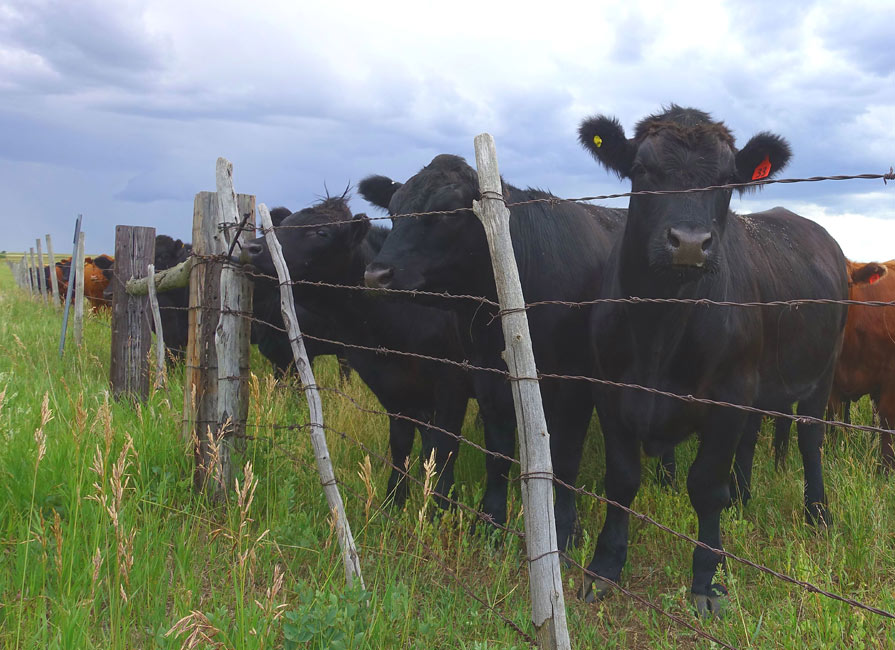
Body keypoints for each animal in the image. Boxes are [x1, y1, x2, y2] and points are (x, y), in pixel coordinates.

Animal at [245, 195, 468, 504]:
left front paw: (442, 504)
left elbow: (444, 447)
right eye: (282, 225)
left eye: (321, 233)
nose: (250, 248)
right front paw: (394, 500)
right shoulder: (392, 388)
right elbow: (402, 443)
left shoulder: (452, 384)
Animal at [360, 153, 628, 548]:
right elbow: (498, 456)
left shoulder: (575, 385)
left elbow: (565, 460)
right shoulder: (487, 380)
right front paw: (490, 523)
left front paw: (565, 532)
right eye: (393, 212)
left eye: (448, 211)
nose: (377, 275)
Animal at [576, 105, 852, 612]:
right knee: (752, 438)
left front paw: (707, 578)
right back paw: (743, 498)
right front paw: (604, 568)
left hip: (823, 371)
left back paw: (817, 513)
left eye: (726, 179)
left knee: (810, 439)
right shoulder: (608, 388)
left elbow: (705, 486)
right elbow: (621, 480)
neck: (659, 328)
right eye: (642, 170)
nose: (689, 242)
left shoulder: (728, 396)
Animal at [828, 256, 895, 468]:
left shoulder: (890, 376)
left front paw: (886, 467)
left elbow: (886, 419)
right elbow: (835, 417)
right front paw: (834, 455)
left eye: (847, 284)